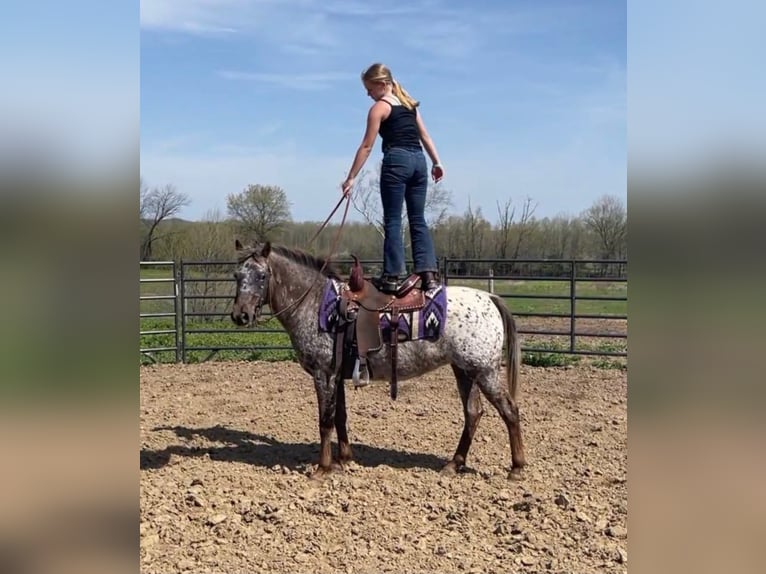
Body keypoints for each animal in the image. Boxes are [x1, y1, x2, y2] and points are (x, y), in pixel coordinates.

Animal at [230, 242, 528, 482]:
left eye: (262, 275)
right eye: (236, 275)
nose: (240, 315)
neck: (316, 305)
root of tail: (489, 298)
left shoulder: (323, 373)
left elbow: (325, 420)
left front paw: (322, 468)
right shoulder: (337, 375)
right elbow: (340, 417)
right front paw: (344, 459)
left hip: (484, 371)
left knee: (509, 411)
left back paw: (516, 468)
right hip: (465, 371)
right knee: (473, 413)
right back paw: (454, 464)